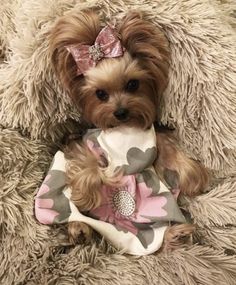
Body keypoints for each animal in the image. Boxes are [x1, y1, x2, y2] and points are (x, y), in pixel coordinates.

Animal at [49, 8, 208, 250]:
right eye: (100, 94)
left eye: (133, 84)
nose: (121, 112)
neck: (124, 129)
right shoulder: (83, 143)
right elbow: (87, 164)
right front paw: (86, 196)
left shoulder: (156, 141)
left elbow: (171, 155)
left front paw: (195, 177)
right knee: (73, 216)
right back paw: (79, 229)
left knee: (155, 234)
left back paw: (176, 234)